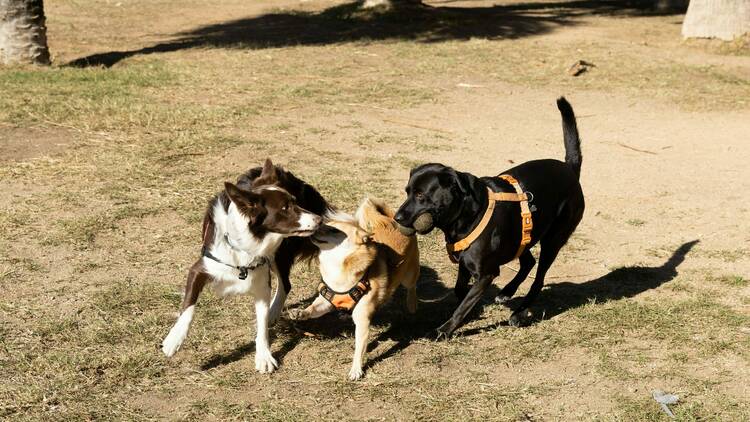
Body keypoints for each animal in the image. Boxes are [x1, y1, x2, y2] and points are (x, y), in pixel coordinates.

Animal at [162, 168, 320, 372]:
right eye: (285, 207)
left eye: (295, 202)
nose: (319, 219)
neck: (243, 248)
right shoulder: (199, 269)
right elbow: (188, 307)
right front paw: (174, 339)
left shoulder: (262, 284)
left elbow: (261, 325)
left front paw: (264, 356)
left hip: (280, 254)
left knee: (285, 284)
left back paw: (273, 312)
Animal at [294, 197, 424, 380]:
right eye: (324, 225)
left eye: (333, 230)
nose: (314, 229)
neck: (337, 266)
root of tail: (391, 220)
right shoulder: (326, 301)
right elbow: (313, 308)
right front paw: (301, 313)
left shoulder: (362, 320)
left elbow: (359, 348)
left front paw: (356, 369)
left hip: (409, 275)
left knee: (412, 287)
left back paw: (412, 305)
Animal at [396, 96, 584, 336]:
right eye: (407, 191)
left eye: (421, 195)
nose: (397, 217)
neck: (466, 217)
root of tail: (570, 170)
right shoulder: (466, 263)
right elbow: (460, 290)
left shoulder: (486, 273)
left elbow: (464, 304)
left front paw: (445, 330)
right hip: (520, 235)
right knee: (528, 261)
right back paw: (507, 292)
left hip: (553, 240)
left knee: (538, 279)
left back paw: (519, 313)